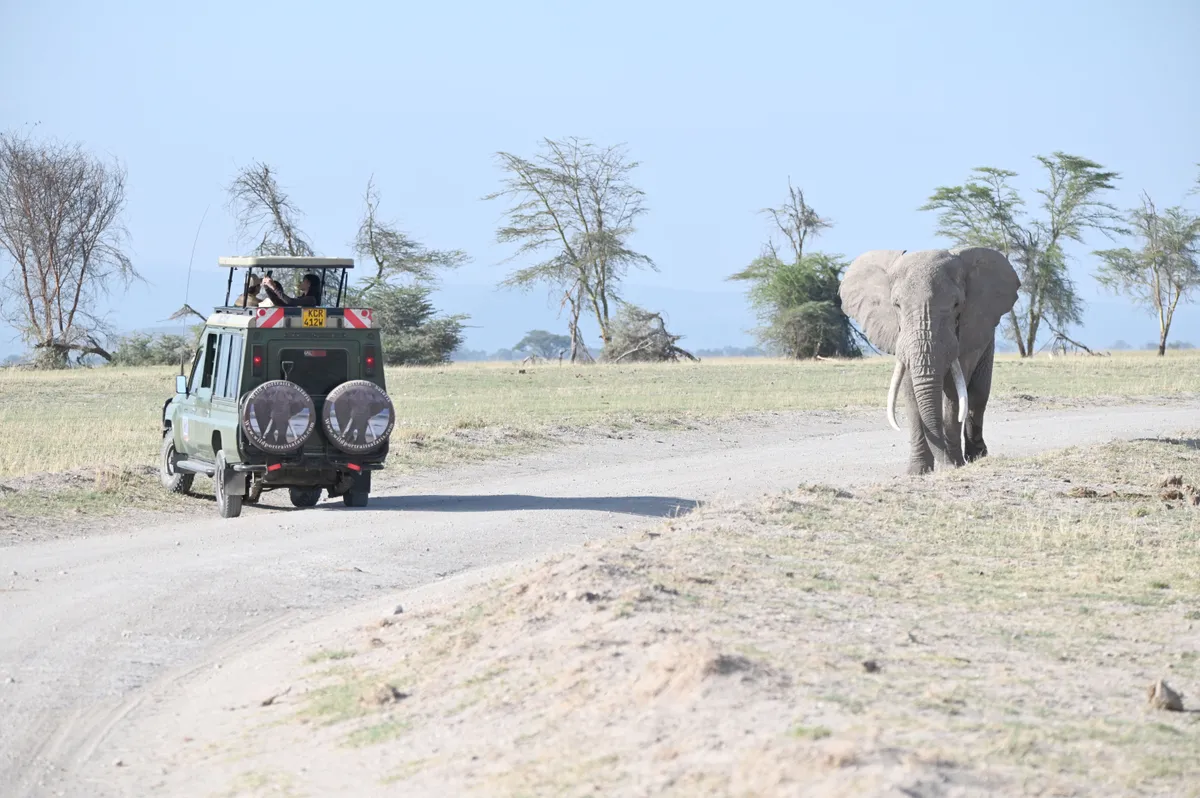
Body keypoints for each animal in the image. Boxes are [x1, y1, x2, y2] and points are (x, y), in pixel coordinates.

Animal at [838, 247, 1020, 475]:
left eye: (956, 304)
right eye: (896, 305)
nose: (947, 465)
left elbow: (954, 392)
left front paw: (954, 465)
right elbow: (910, 391)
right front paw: (917, 471)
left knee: (977, 396)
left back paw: (977, 456)